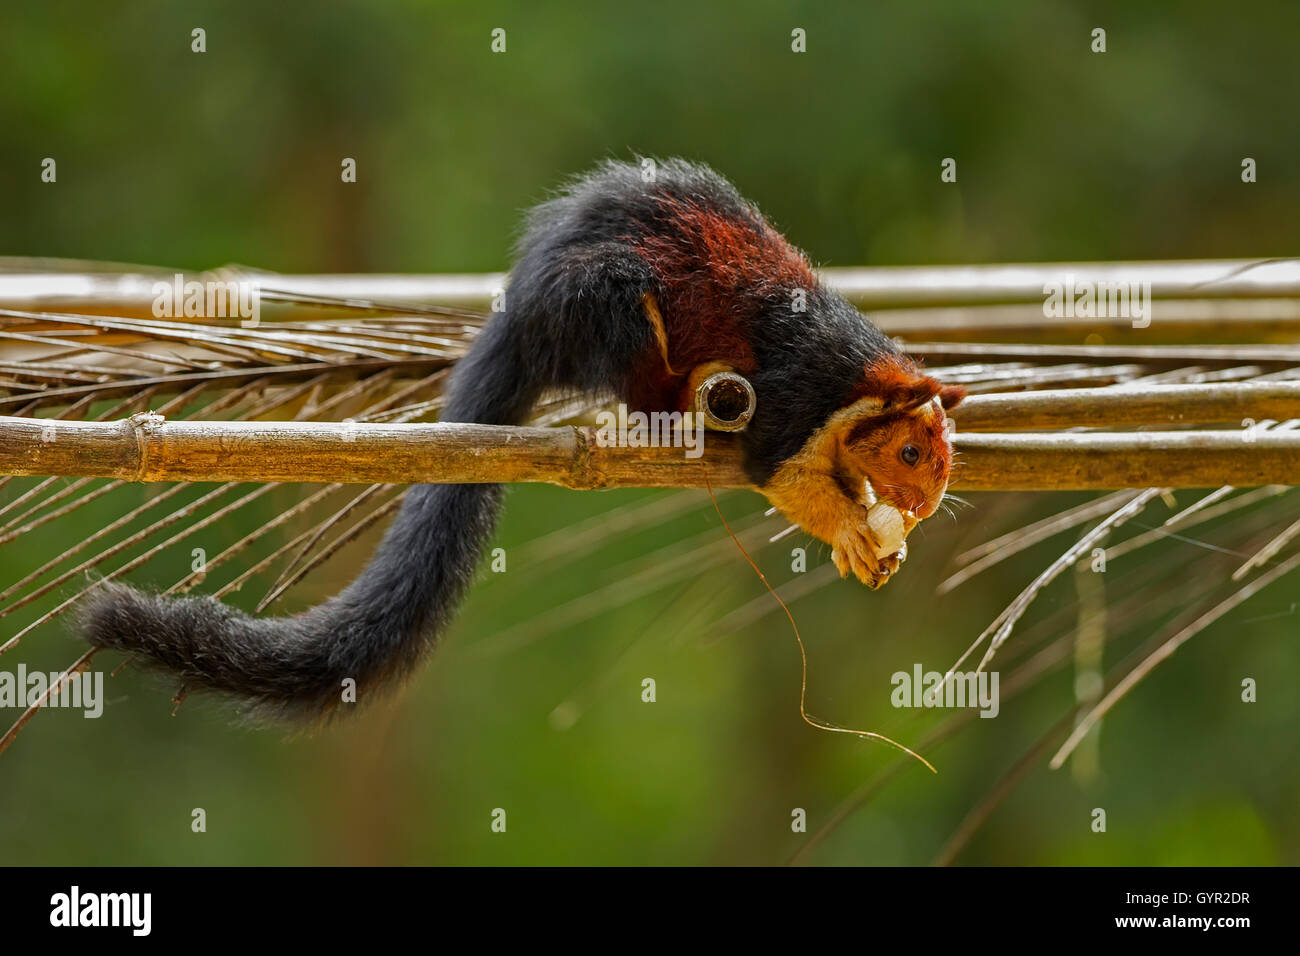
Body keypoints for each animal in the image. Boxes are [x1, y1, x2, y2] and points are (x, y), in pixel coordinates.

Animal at [76, 158, 964, 720]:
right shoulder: (796, 399)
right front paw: (855, 531)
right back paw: (680, 407)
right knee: (644, 370)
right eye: (911, 453)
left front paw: (880, 536)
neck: (856, 382)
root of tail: (521, 309)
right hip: (612, 299)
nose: (924, 507)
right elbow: (780, 472)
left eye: (945, 462)